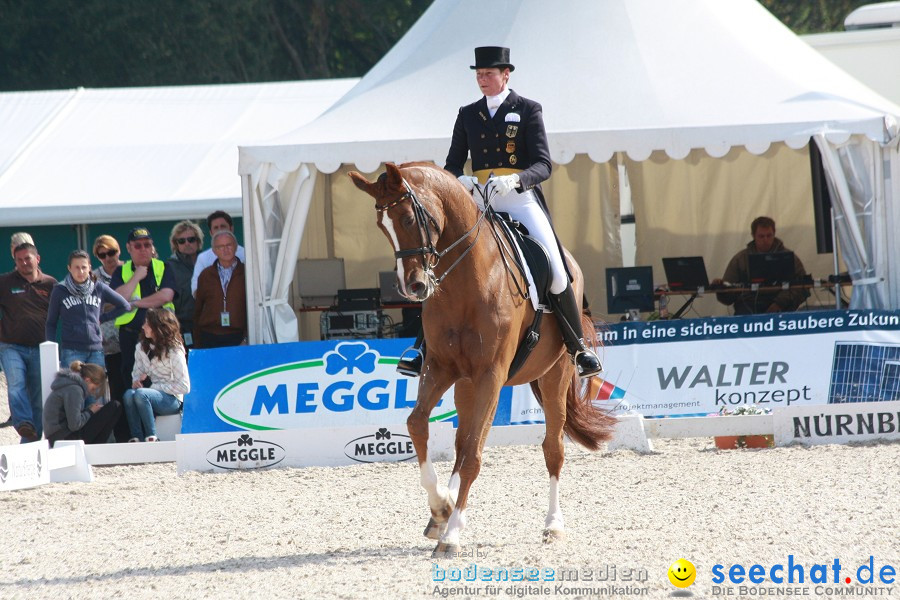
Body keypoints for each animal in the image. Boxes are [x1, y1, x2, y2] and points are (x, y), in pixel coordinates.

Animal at [348, 162, 616, 556]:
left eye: (409, 217)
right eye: (383, 226)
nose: (413, 287)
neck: (465, 281)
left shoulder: (492, 374)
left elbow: (475, 453)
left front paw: (453, 535)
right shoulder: (441, 367)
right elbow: (418, 425)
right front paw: (441, 509)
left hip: (554, 374)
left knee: (552, 448)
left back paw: (552, 525)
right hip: (466, 384)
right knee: (461, 443)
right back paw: (442, 516)